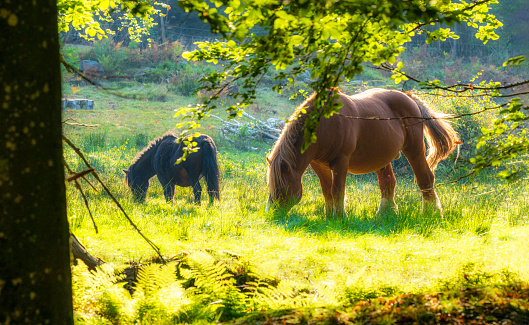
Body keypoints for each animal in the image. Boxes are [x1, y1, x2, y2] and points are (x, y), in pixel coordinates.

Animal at [266, 87, 460, 216]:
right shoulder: (318, 165)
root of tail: (407, 96)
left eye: (282, 186)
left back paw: (431, 213)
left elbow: (337, 190)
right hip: (382, 158)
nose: (272, 215)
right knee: (388, 183)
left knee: (425, 178)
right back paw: (385, 215)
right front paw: (329, 217)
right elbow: (327, 191)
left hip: (414, 149)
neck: (323, 124)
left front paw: (340, 217)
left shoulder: (341, 162)